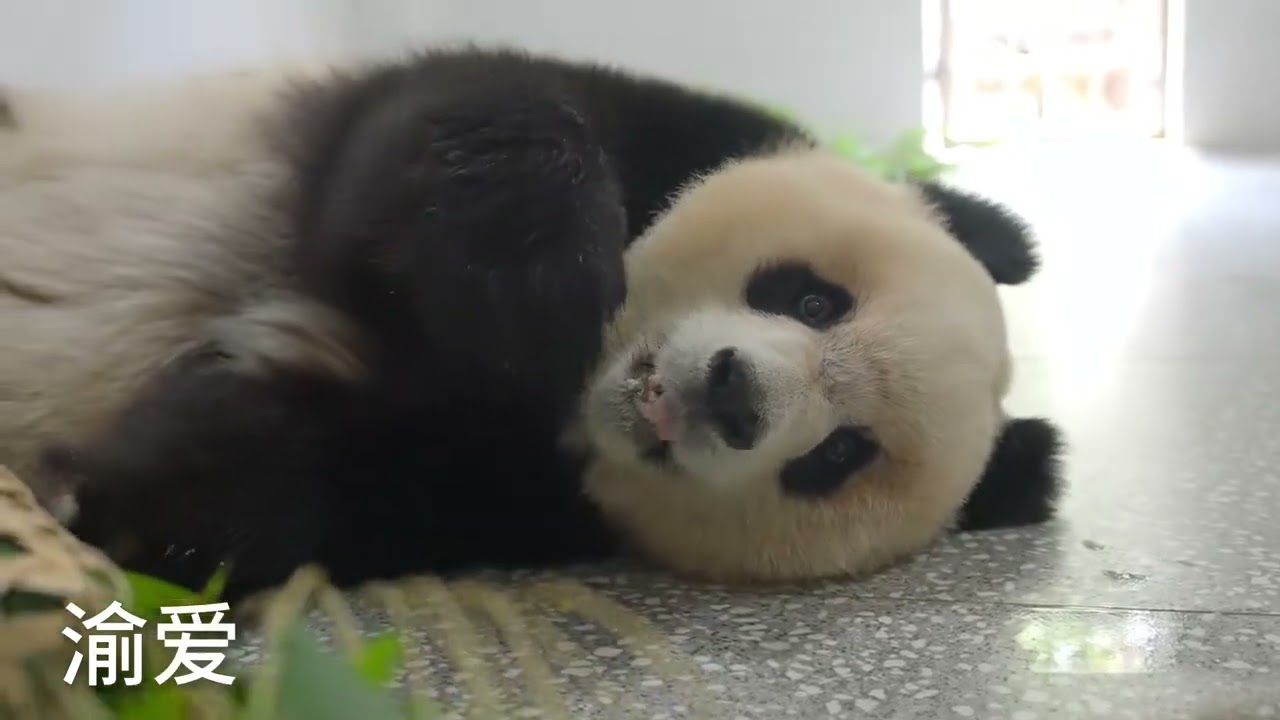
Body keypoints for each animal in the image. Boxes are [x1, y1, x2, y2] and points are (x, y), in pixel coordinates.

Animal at [0, 45, 1064, 601]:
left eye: (838, 456)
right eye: (809, 299)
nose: (732, 394)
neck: (575, 409)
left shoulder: (504, 489)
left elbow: (306, 470)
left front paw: (101, 504)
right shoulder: (651, 121)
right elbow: (459, 125)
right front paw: (528, 309)